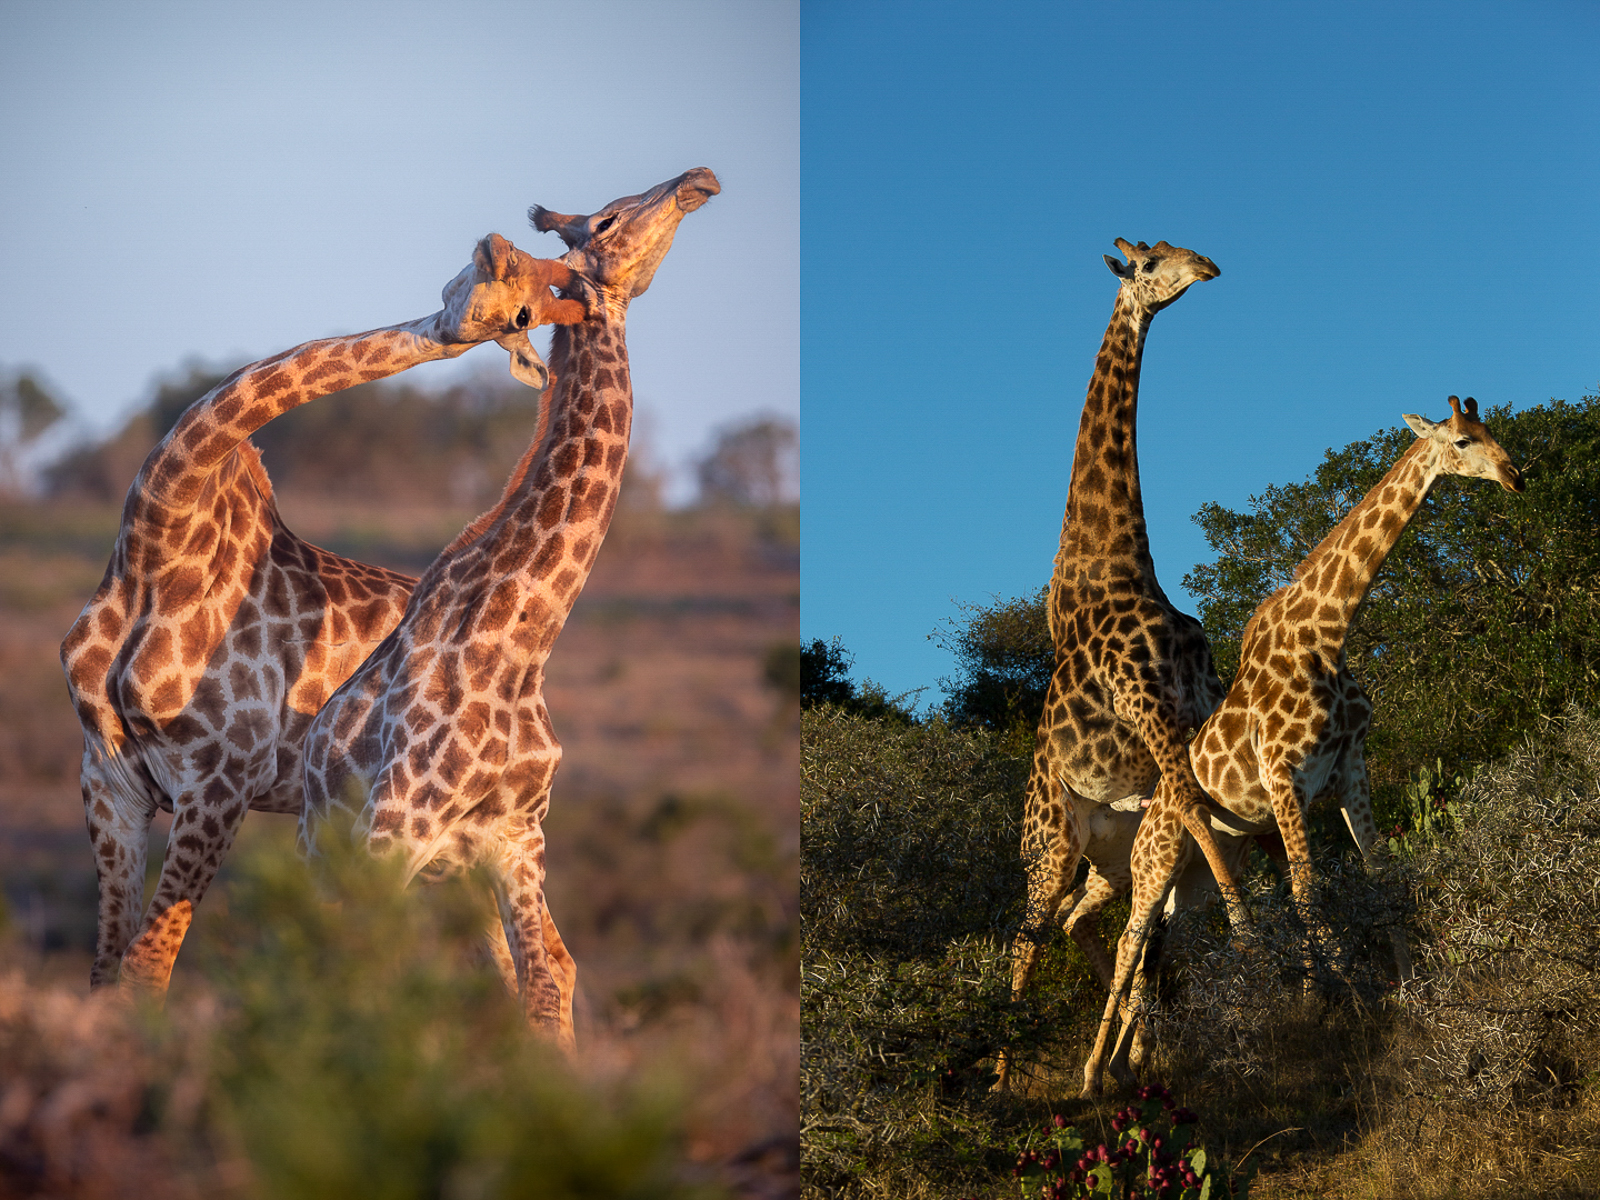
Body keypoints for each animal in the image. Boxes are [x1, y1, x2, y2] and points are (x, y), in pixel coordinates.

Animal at [64, 232, 588, 998]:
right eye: (509, 286)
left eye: (522, 310)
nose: (499, 248)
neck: (160, 544)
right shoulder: (108, 780)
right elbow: (105, 969)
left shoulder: (221, 780)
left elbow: (146, 967)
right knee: (529, 955)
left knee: (542, 954)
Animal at [299, 164, 720, 1049]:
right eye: (607, 219)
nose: (697, 181)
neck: (519, 641)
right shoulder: (393, 830)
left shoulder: (516, 840)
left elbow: (546, 984)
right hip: (342, 860)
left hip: (450, 880)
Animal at [992, 240, 1241, 1094]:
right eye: (1153, 263)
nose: (1209, 268)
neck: (1120, 571)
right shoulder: (1149, 710)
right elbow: (1197, 819)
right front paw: (1247, 924)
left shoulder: (1187, 717)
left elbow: (1195, 830)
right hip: (1050, 842)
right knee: (1028, 933)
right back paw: (1007, 1078)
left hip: (1101, 851)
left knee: (1085, 918)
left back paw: (1118, 1051)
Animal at [1088, 396, 1523, 1100]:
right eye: (1461, 441)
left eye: (1492, 431)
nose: (1516, 477)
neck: (1326, 632)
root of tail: (1150, 809)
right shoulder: (1285, 775)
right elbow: (1307, 893)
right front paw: (1340, 1000)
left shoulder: (1350, 765)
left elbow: (1380, 875)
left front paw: (1412, 988)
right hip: (1156, 858)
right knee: (1130, 939)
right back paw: (1093, 1073)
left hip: (1201, 872)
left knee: (1167, 941)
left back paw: (1133, 1062)